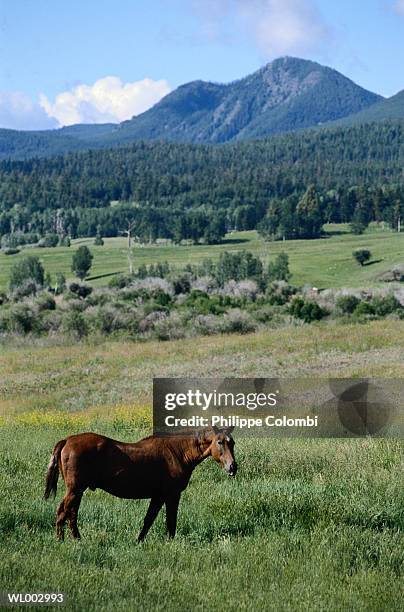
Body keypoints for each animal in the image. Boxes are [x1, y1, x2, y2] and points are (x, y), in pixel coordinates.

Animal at [43, 428, 237, 544]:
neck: (179, 452)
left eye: (232, 443)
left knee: (71, 514)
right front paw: (170, 542)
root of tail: (67, 440)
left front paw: (139, 541)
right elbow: (171, 521)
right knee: (63, 512)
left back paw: (77, 539)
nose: (232, 467)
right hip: (75, 490)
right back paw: (61, 540)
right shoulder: (172, 495)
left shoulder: (158, 496)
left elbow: (148, 520)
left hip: (78, 491)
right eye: (220, 442)